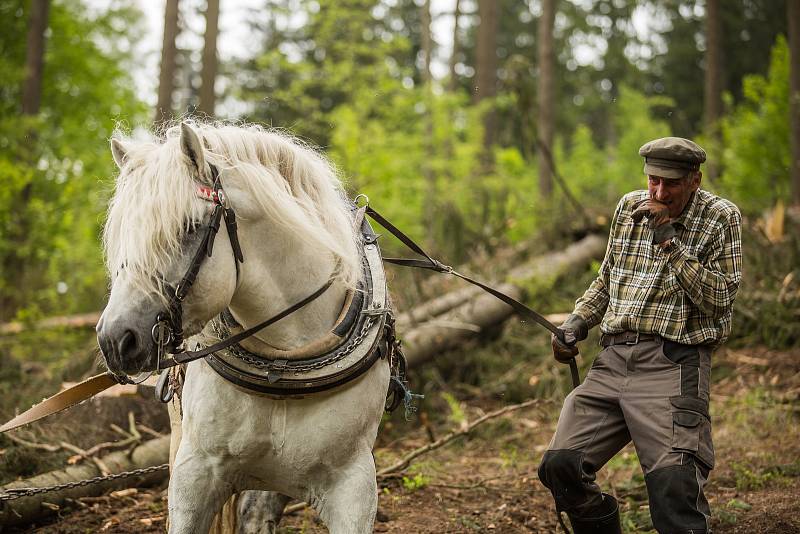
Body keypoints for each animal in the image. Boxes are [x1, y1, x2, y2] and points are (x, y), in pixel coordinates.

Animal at [97, 122, 390, 534]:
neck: (283, 360)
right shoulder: (194, 475)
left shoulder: (354, 484)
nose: (115, 341)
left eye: (189, 228)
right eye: (121, 235)